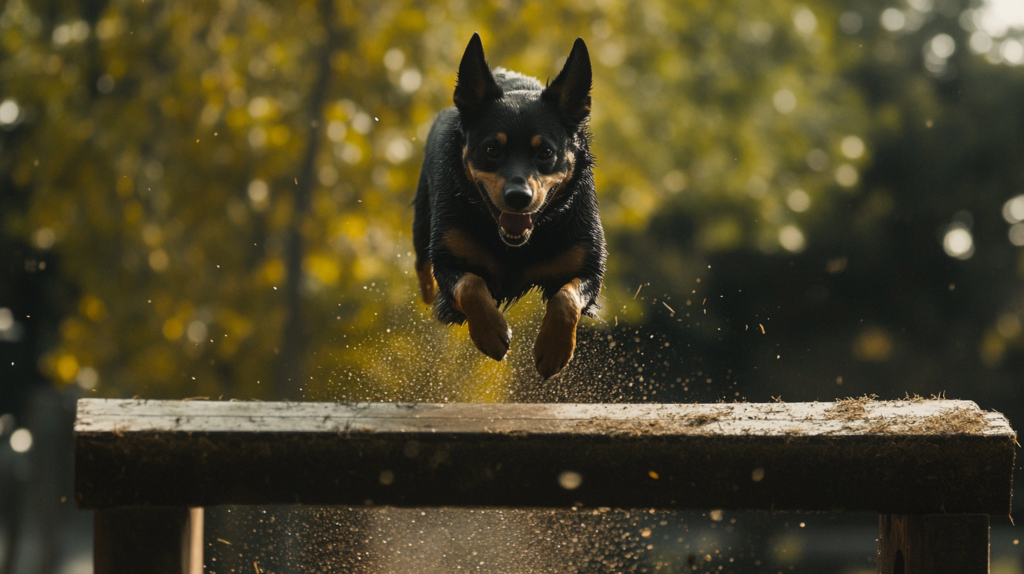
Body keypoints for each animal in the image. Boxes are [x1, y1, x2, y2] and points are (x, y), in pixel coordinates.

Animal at [413, 33, 606, 378]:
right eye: (491, 149)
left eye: (545, 152)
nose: (519, 196)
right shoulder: (448, 258)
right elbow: (470, 285)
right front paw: (491, 333)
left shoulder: (589, 266)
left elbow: (566, 299)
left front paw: (554, 349)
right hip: (422, 220)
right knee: (422, 261)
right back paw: (428, 290)